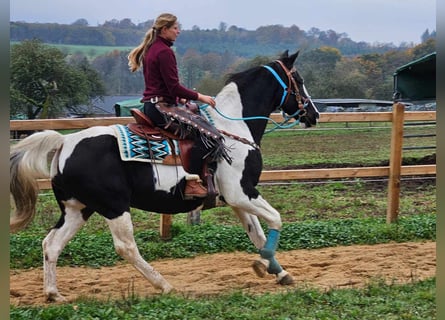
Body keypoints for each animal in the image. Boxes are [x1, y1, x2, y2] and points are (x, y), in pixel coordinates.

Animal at [10, 48, 320, 302]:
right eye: (299, 79)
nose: (314, 114)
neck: (234, 128)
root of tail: (64, 143)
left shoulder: (236, 200)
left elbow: (256, 233)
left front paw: (280, 272)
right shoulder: (241, 192)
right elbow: (276, 219)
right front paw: (264, 264)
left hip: (78, 209)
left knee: (52, 244)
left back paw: (53, 293)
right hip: (113, 207)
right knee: (125, 247)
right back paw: (164, 285)